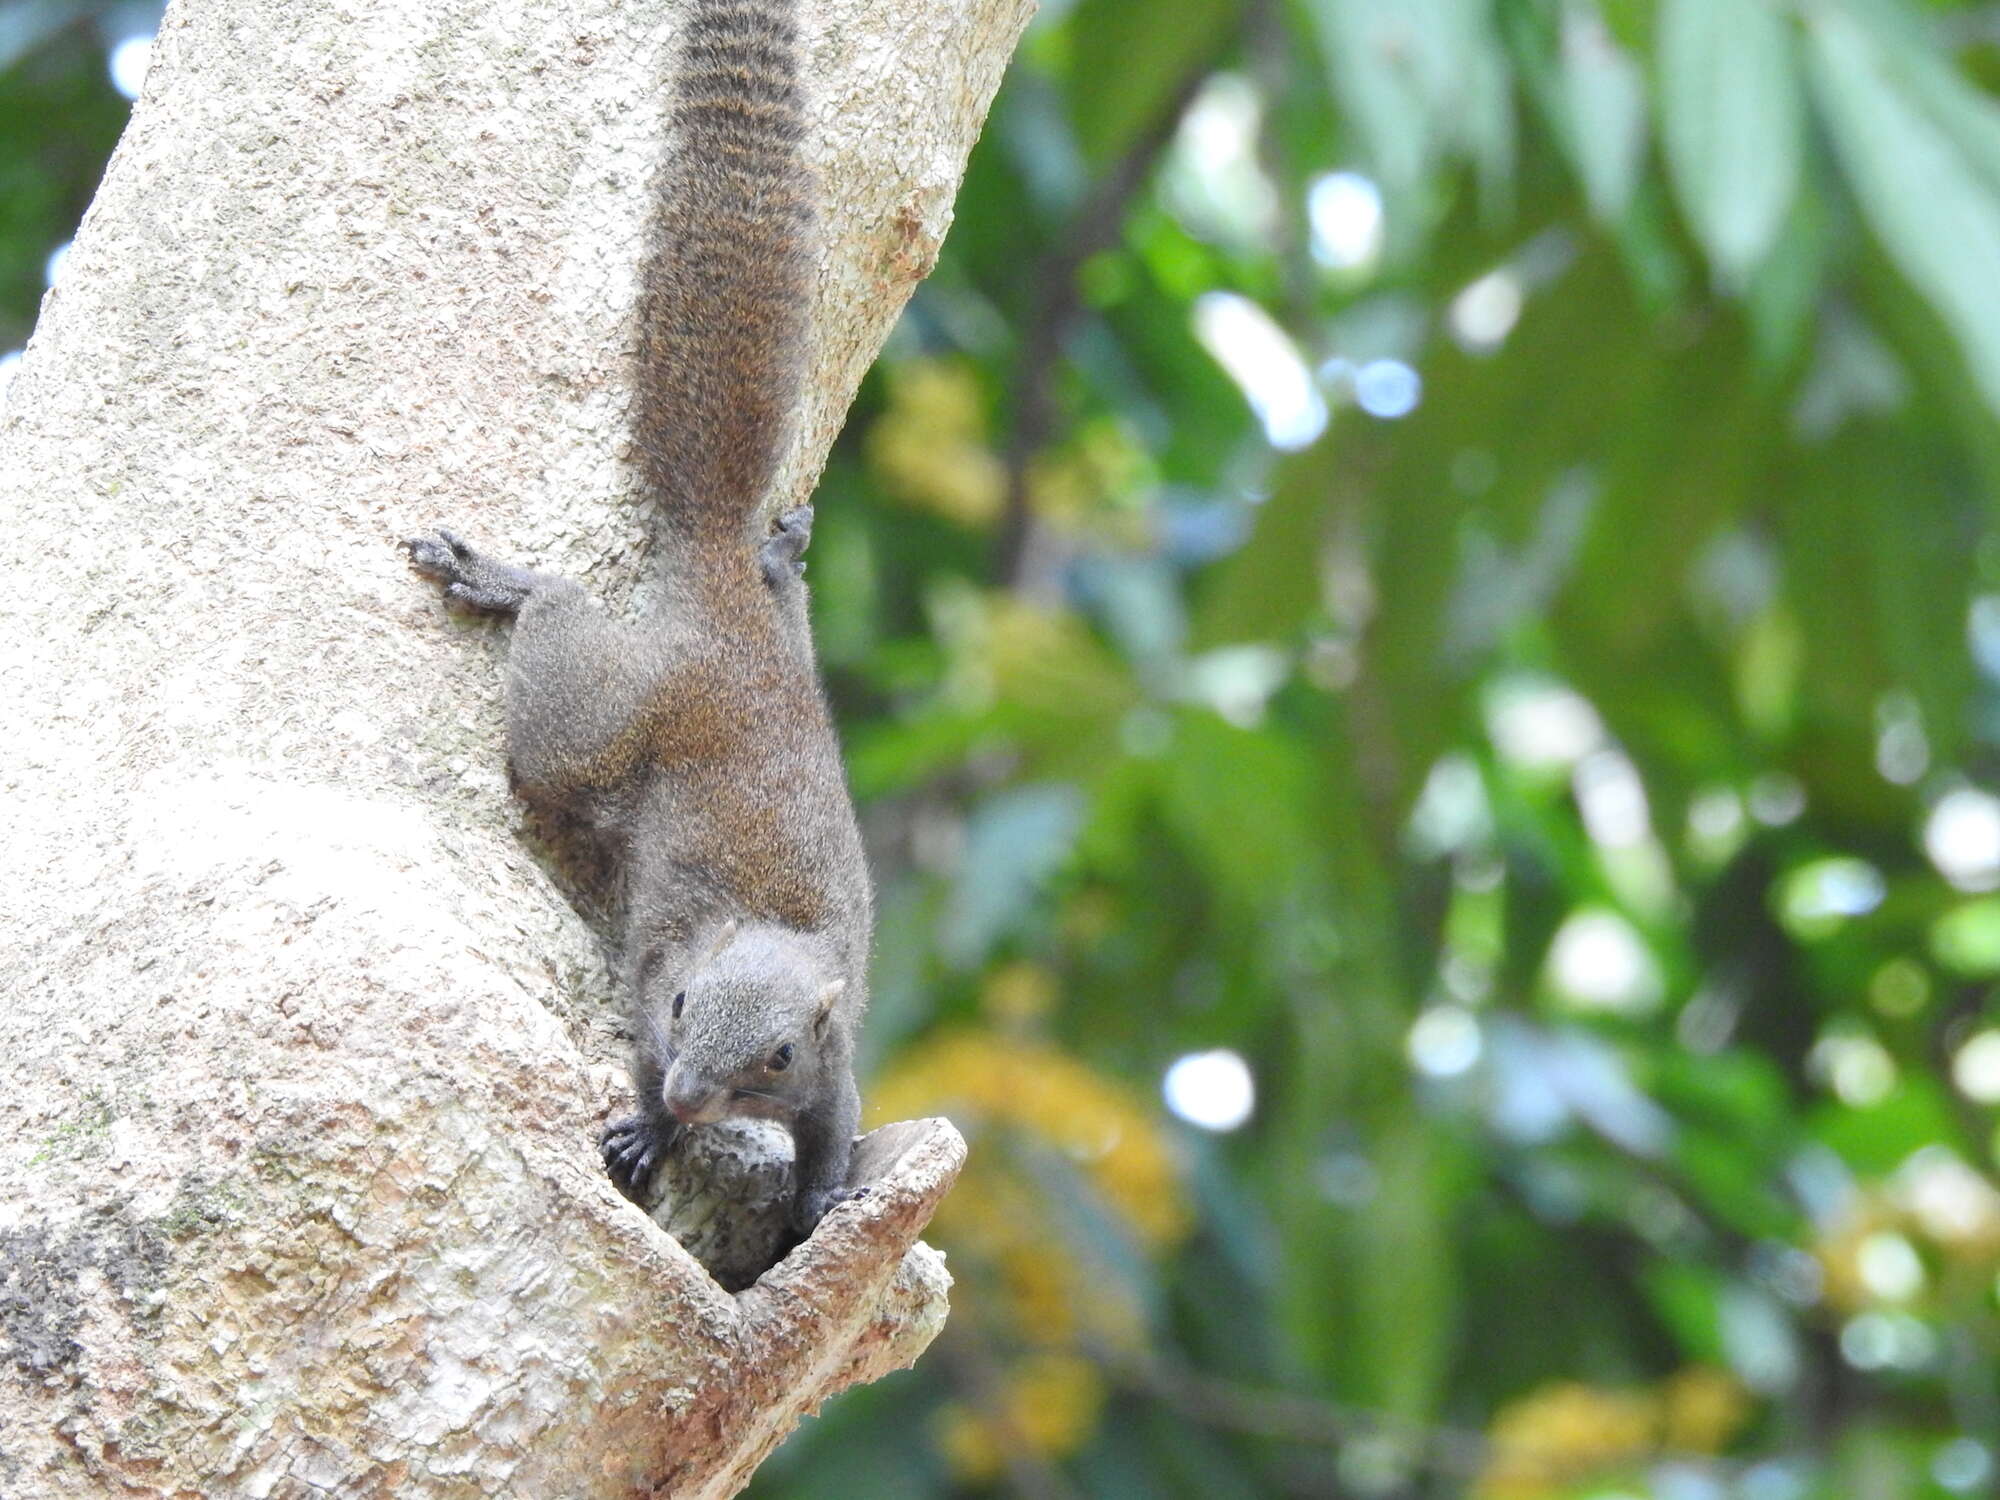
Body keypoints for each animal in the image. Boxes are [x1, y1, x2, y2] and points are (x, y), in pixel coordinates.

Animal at [410, 0, 872, 1248]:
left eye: (774, 1055)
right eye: (676, 1005)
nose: (689, 1091)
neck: (760, 929)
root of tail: (716, 593)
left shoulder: (836, 1064)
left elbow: (832, 1133)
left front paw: (821, 1198)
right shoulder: (649, 976)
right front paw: (651, 1133)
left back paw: (778, 555)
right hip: (593, 729)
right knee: (564, 638)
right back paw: (512, 583)